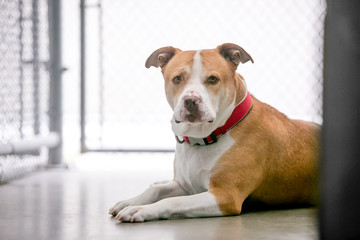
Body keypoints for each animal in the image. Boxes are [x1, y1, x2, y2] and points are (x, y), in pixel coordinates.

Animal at [108, 43, 320, 223]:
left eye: (212, 79)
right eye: (177, 79)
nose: (190, 101)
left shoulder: (224, 196)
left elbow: (173, 201)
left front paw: (142, 209)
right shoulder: (184, 185)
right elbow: (155, 191)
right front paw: (131, 201)